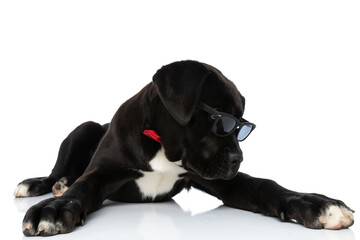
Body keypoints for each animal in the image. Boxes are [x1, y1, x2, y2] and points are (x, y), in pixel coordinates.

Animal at [15, 60, 352, 236]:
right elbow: (82, 188)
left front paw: (318, 203)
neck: (162, 146)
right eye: (220, 120)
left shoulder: (216, 179)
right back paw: (46, 185)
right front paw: (55, 207)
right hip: (84, 127)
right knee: (60, 172)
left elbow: (264, 186)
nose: (238, 159)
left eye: (242, 128)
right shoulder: (102, 173)